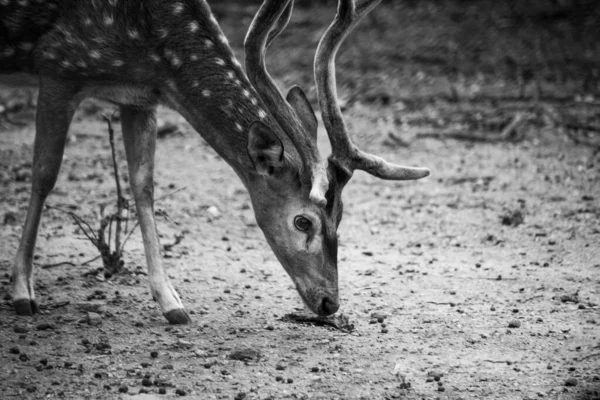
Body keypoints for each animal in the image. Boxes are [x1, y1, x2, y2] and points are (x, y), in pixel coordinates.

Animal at [2, 0, 428, 324]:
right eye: (303, 221)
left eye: (341, 216)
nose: (330, 303)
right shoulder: (58, 66)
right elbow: (44, 175)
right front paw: (22, 290)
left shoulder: (139, 96)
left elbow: (143, 184)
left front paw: (171, 302)